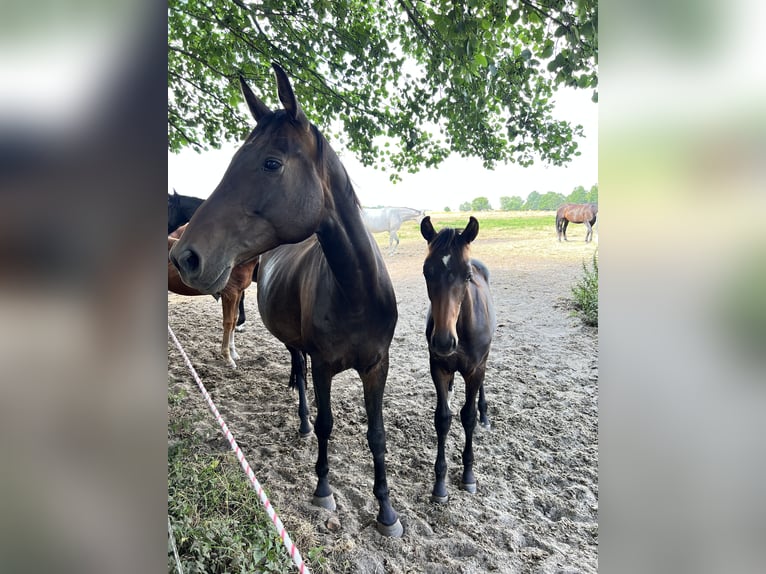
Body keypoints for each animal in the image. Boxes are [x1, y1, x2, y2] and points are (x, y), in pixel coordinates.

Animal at [167, 223, 256, 372]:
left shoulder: (238, 293)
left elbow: (234, 320)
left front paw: (234, 353)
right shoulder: (230, 294)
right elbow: (228, 323)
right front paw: (228, 358)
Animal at [420, 216, 498, 504]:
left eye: (466, 276)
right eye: (426, 271)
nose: (443, 342)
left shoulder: (475, 369)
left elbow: (468, 416)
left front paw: (468, 475)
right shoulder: (438, 367)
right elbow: (443, 418)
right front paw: (440, 484)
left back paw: (485, 414)